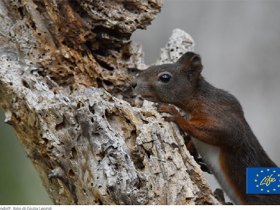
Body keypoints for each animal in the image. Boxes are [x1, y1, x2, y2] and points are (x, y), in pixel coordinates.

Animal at [134, 52, 280, 205]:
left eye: (165, 78)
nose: (134, 84)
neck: (198, 98)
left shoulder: (217, 112)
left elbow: (230, 134)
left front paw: (176, 115)